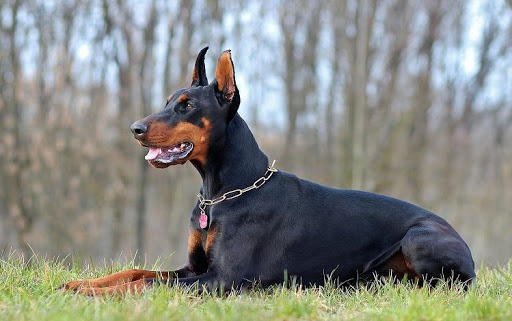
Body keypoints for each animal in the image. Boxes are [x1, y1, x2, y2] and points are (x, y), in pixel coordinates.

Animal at [61, 46, 476, 294]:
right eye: (167, 101)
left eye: (187, 106)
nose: (135, 128)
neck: (222, 193)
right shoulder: (193, 269)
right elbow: (135, 273)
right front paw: (80, 284)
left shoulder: (221, 279)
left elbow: (144, 285)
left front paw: (94, 294)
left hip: (419, 237)